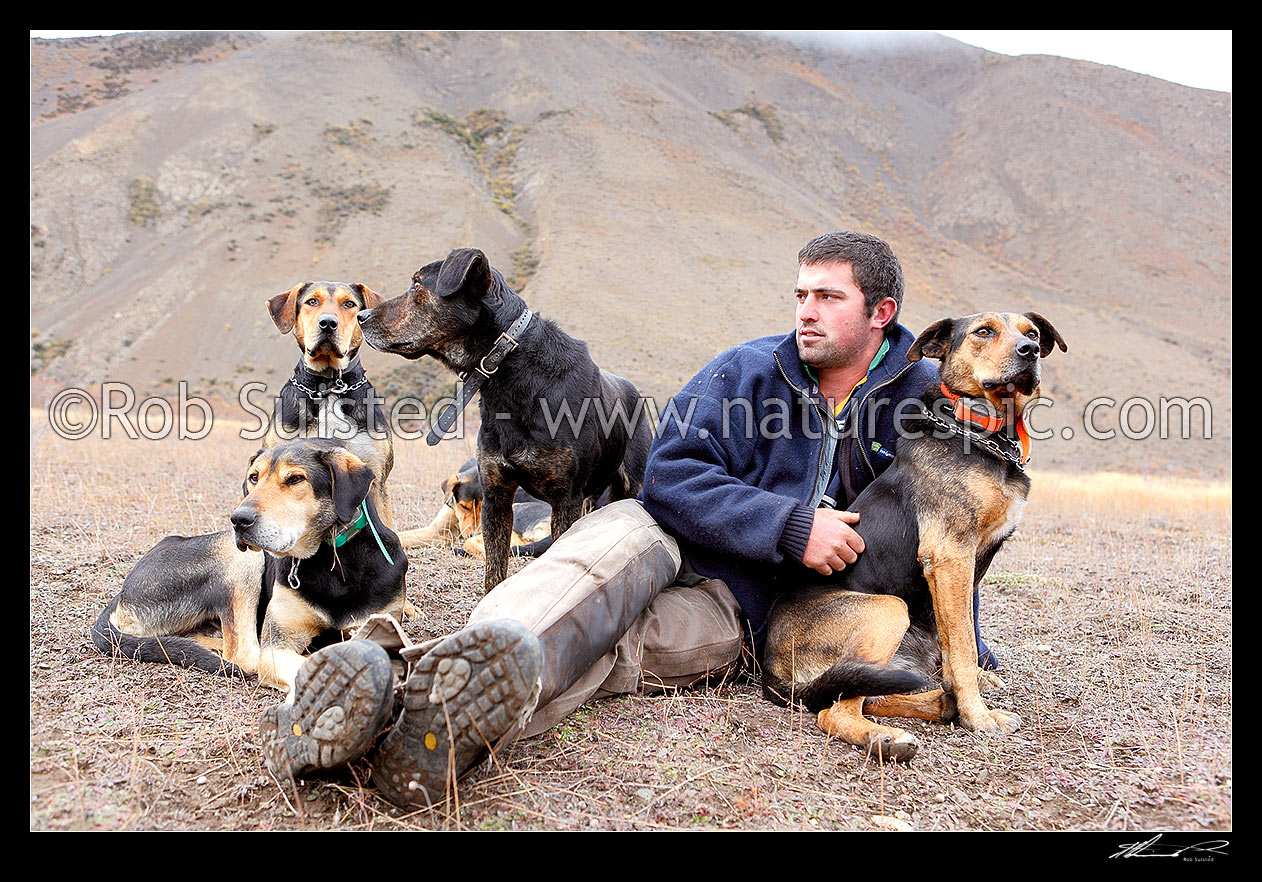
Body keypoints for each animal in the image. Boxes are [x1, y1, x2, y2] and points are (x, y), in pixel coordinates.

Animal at [93, 439, 408, 691]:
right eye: (254, 477)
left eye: (296, 479)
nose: (238, 519)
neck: (330, 558)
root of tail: (121, 594)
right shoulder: (277, 644)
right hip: (239, 557)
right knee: (243, 653)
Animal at [355, 248, 651, 593]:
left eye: (417, 285)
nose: (361, 316)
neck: (512, 370)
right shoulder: (496, 494)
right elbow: (494, 572)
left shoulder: (565, 500)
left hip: (629, 486)